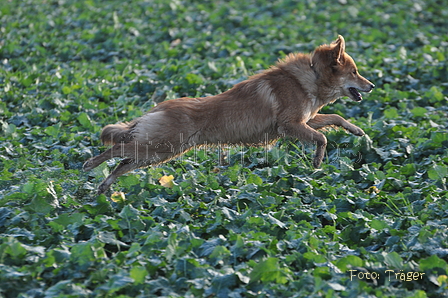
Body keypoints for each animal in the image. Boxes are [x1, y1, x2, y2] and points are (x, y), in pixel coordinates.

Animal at [84, 35, 374, 193]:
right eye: (355, 72)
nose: (372, 86)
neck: (312, 76)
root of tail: (157, 108)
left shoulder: (306, 120)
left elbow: (335, 119)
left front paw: (358, 131)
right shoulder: (289, 124)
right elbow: (322, 138)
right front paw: (317, 162)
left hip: (159, 154)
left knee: (123, 162)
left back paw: (103, 186)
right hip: (163, 146)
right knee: (118, 149)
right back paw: (90, 165)